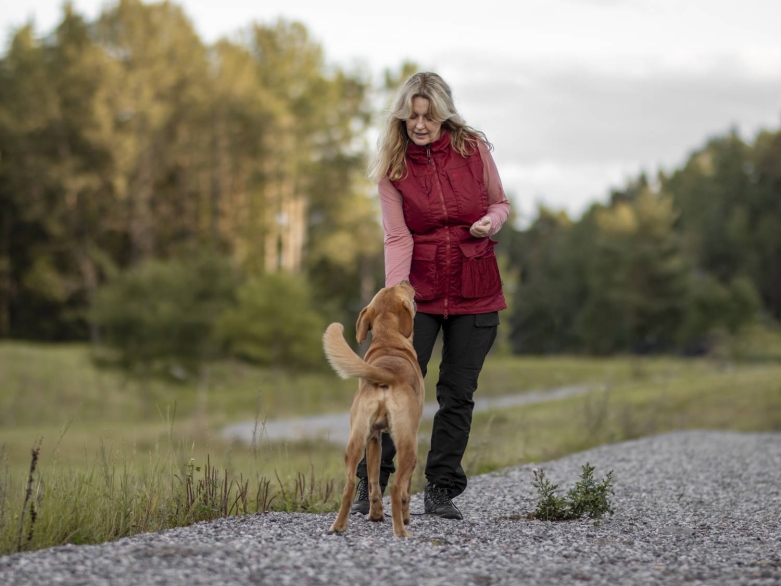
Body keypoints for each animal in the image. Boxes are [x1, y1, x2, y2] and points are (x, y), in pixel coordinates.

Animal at [322, 280, 424, 536]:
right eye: (403, 288)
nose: (406, 280)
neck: (388, 340)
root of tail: (386, 374)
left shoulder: (375, 439)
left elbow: (374, 482)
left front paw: (375, 515)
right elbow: (406, 490)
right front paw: (405, 518)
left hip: (357, 440)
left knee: (350, 485)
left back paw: (339, 526)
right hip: (409, 447)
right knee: (398, 488)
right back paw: (402, 531)